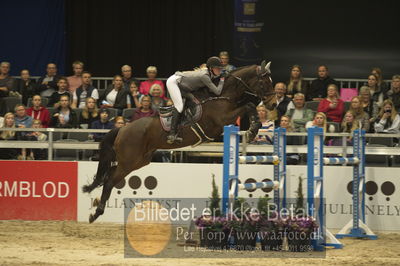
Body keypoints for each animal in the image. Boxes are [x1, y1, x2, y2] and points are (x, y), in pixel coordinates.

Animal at [81, 60, 276, 222]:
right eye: (265, 82)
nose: (273, 104)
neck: (221, 94)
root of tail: (122, 128)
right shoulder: (222, 120)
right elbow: (248, 105)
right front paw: (252, 130)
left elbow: (248, 106)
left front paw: (254, 128)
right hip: (129, 161)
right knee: (109, 180)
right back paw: (96, 213)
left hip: (138, 161)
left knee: (109, 176)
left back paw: (96, 207)